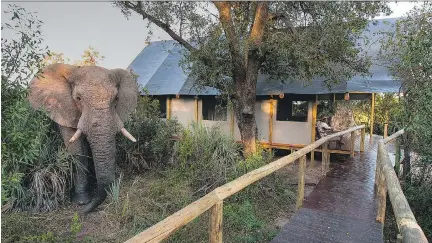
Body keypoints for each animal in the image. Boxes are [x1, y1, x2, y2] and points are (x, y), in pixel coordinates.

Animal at [27, 63, 138, 214]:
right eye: (78, 98)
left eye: (116, 98)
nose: (80, 213)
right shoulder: (64, 111)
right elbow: (78, 151)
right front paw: (81, 201)